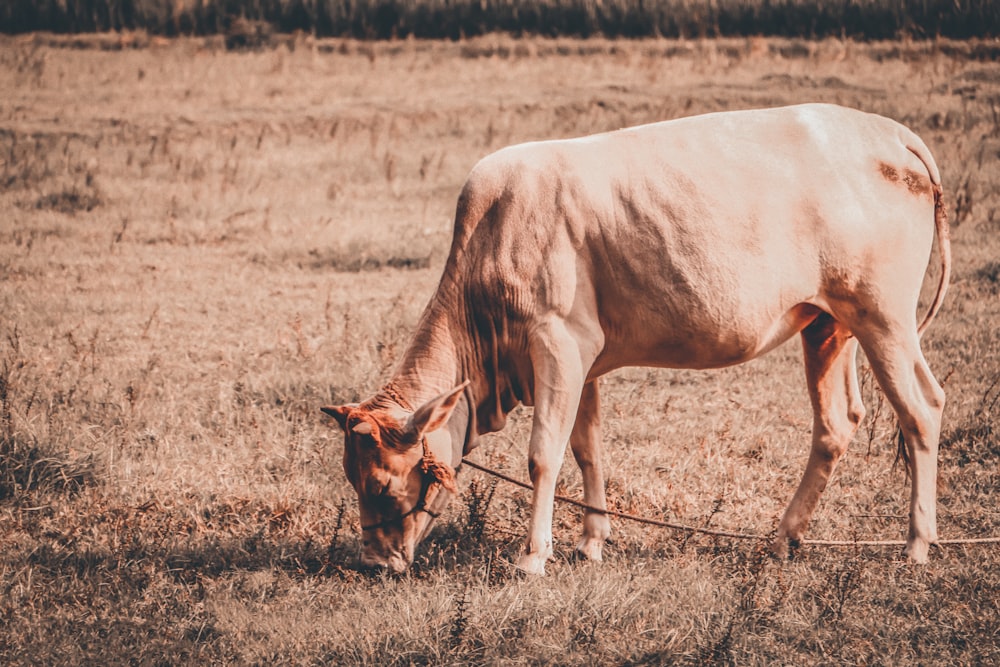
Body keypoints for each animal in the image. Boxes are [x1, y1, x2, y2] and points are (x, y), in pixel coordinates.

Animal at [322, 103, 952, 576]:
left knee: (922, 409)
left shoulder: (557, 342)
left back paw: (917, 545)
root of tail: (893, 134)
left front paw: (533, 557)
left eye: (382, 484)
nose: (373, 564)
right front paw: (590, 541)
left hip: (884, 318)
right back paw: (783, 538)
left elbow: (544, 453)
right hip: (827, 323)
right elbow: (586, 447)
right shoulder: (583, 359)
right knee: (837, 421)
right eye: (352, 478)